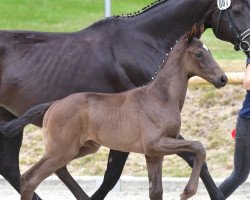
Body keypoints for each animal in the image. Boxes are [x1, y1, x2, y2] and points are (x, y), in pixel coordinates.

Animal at [19, 27, 227, 200]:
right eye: (199, 54)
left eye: (210, 51)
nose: (223, 78)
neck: (161, 98)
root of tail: (53, 104)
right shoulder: (155, 144)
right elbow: (198, 147)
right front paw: (187, 192)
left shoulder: (154, 155)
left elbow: (156, 191)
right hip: (62, 151)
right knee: (31, 179)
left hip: (81, 148)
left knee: (35, 175)